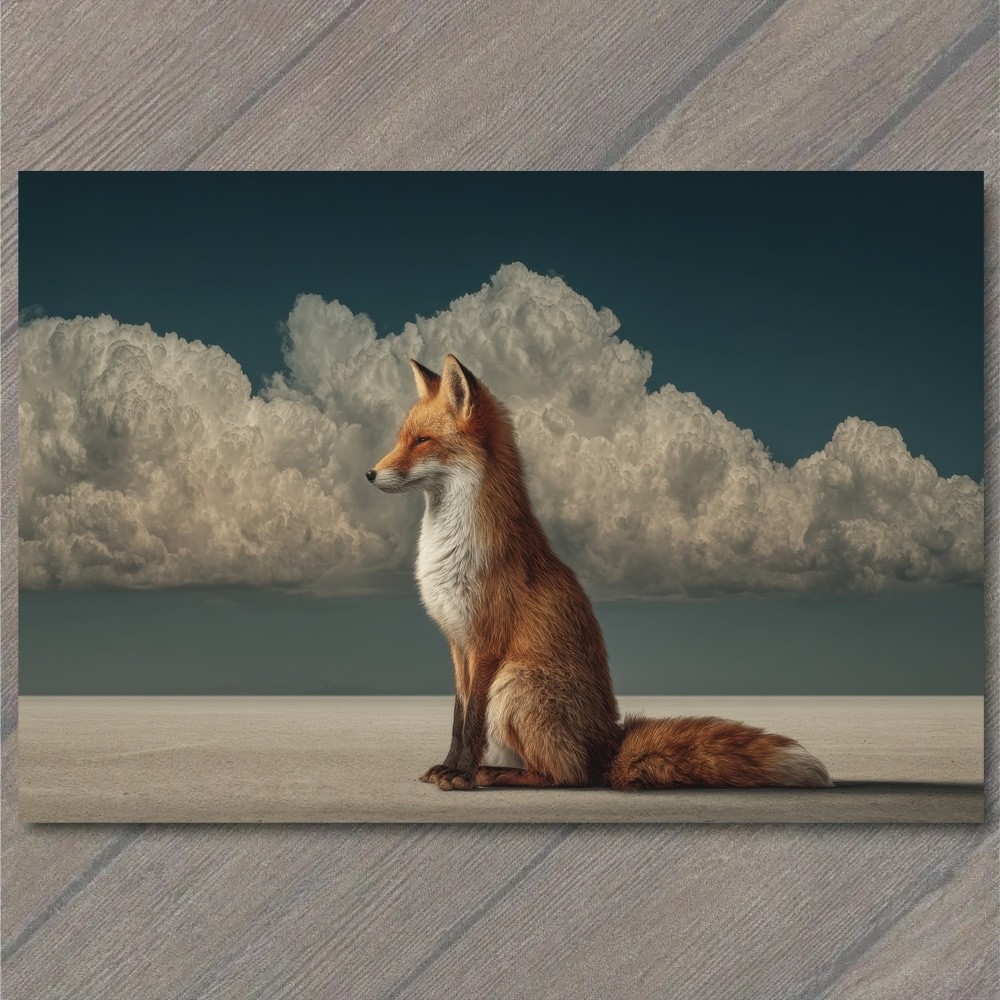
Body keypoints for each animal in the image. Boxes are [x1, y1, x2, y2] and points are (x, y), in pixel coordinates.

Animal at [367, 355, 833, 792]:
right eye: (400, 439)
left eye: (422, 441)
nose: (369, 474)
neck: (449, 547)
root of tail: (609, 745)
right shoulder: (457, 642)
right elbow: (458, 717)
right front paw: (446, 766)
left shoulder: (487, 643)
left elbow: (473, 722)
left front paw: (461, 774)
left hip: (513, 685)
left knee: (569, 774)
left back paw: (492, 773)